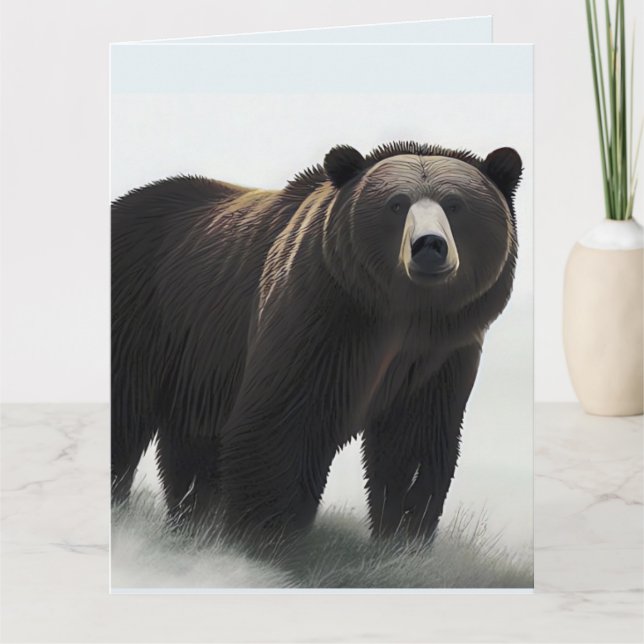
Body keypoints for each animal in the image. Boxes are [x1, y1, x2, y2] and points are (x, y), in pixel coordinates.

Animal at [111, 141, 521, 543]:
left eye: (455, 204)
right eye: (396, 204)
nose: (429, 245)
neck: (401, 314)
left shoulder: (439, 354)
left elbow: (413, 443)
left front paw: (403, 536)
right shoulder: (317, 317)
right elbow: (284, 423)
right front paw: (265, 536)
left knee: (190, 444)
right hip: (145, 314)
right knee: (127, 415)